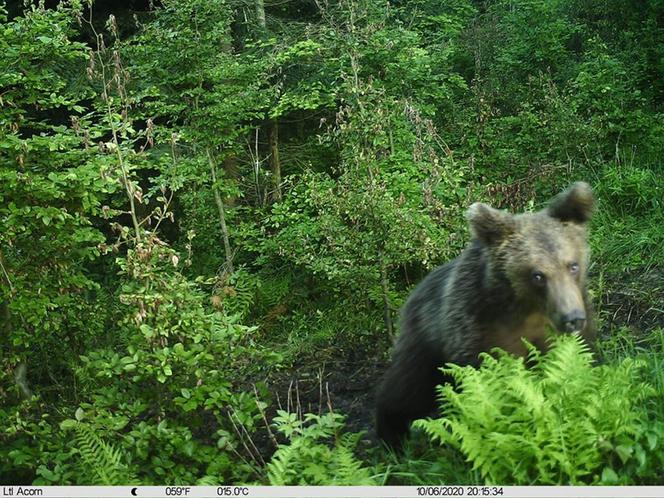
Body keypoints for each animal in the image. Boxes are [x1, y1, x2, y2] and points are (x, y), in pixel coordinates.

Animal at [376, 182, 600, 448]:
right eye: (537, 275)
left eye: (573, 265)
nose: (572, 318)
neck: (528, 311)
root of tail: (415, 291)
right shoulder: (479, 327)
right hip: (424, 338)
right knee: (408, 385)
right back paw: (391, 433)